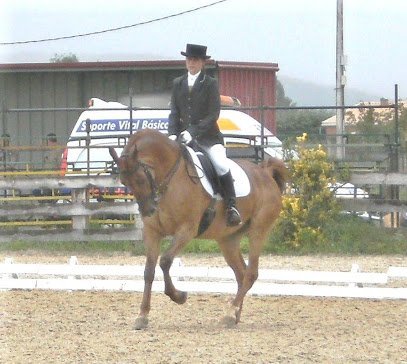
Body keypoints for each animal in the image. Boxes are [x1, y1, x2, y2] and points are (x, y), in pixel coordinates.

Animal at [110, 130, 288, 330]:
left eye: (140, 178)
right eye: (124, 181)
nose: (148, 210)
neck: (169, 179)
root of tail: (265, 173)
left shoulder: (186, 230)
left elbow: (165, 261)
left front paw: (178, 296)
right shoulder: (152, 232)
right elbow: (149, 271)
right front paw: (142, 316)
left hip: (259, 230)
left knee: (251, 273)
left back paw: (229, 313)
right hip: (228, 239)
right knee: (241, 273)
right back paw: (234, 315)